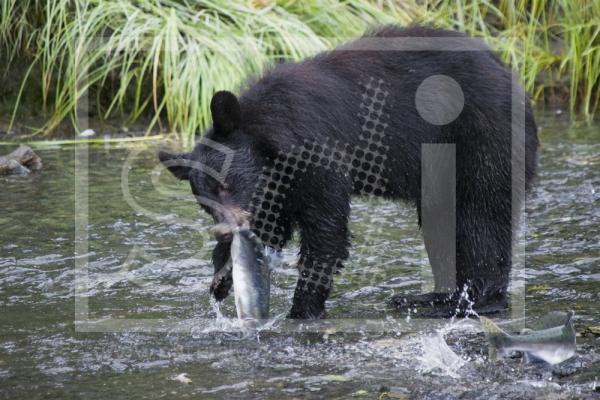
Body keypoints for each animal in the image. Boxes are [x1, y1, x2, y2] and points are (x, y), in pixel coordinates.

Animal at [159, 25, 540, 318]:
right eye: (204, 203)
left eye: (225, 184)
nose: (224, 232)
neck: (271, 138)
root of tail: (512, 77)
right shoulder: (275, 186)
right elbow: (271, 227)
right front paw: (222, 276)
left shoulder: (317, 152)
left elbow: (326, 231)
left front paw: (301, 310)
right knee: (443, 223)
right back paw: (431, 296)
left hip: (478, 142)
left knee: (478, 219)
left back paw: (469, 302)